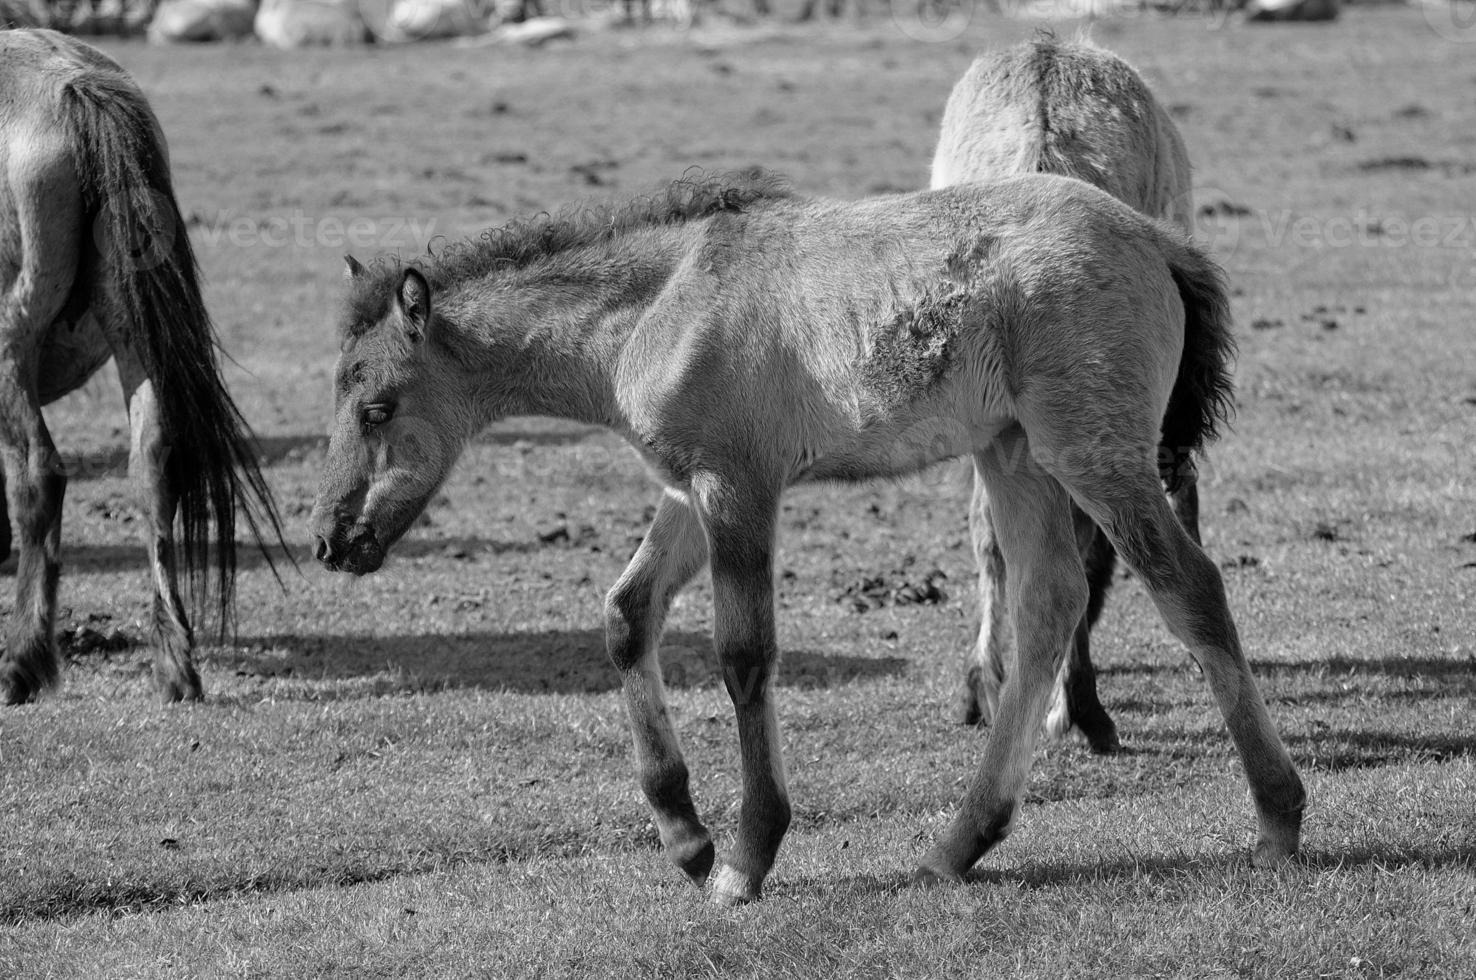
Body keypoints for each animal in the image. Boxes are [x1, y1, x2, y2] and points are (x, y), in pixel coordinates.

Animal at [0, 28, 281, 705]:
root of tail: (72, 87)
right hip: (131, 327)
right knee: (154, 465)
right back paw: (175, 665)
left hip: (10, 339)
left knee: (38, 475)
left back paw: (22, 661)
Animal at [311, 171, 1304, 909]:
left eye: (377, 408)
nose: (329, 539)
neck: (654, 309)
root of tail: (1156, 239)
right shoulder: (684, 489)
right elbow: (627, 617)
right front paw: (686, 839)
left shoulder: (737, 488)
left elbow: (744, 655)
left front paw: (745, 859)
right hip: (1011, 449)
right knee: (1050, 603)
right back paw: (958, 844)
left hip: (1091, 451)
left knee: (1188, 586)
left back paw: (1278, 817)